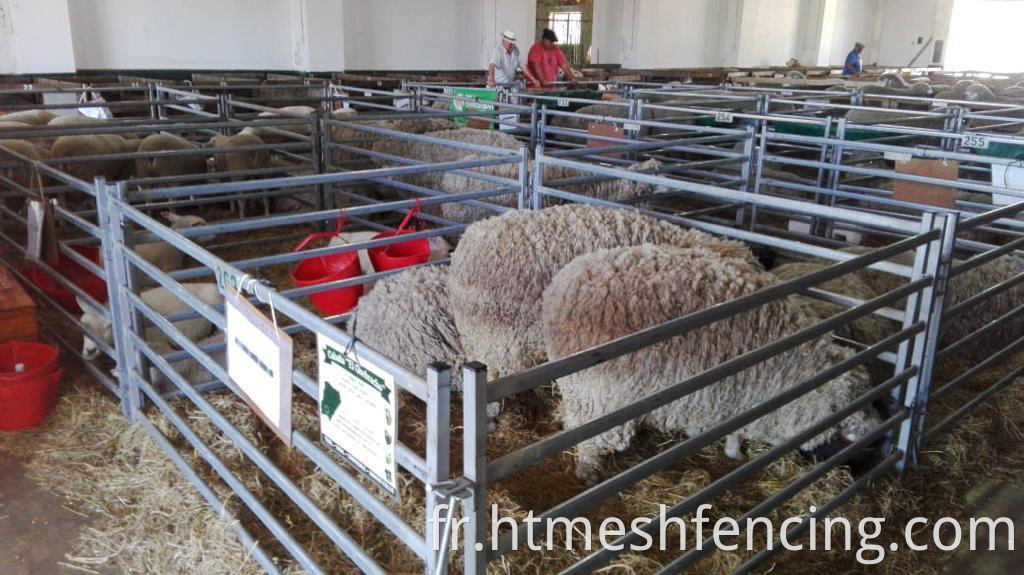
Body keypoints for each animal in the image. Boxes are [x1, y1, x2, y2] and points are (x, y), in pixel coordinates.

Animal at [544, 241, 880, 478]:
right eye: (849, 407)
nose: (875, 432)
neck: (796, 366)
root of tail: (563, 286)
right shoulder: (746, 394)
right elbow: (736, 431)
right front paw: (734, 454)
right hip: (600, 395)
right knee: (588, 437)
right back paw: (587, 470)